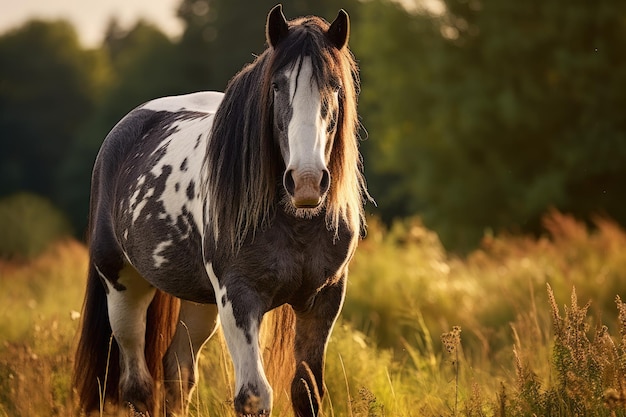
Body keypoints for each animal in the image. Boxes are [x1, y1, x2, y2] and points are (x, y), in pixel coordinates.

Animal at [72, 4, 366, 416]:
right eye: (277, 86)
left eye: (335, 86)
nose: (306, 180)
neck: (295, 222)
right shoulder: (238, 297)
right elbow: (254, 395)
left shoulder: (323, 300)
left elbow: (306, 391)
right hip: (124, 288)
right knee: (137, 384)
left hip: (199, 304)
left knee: (177, 372)